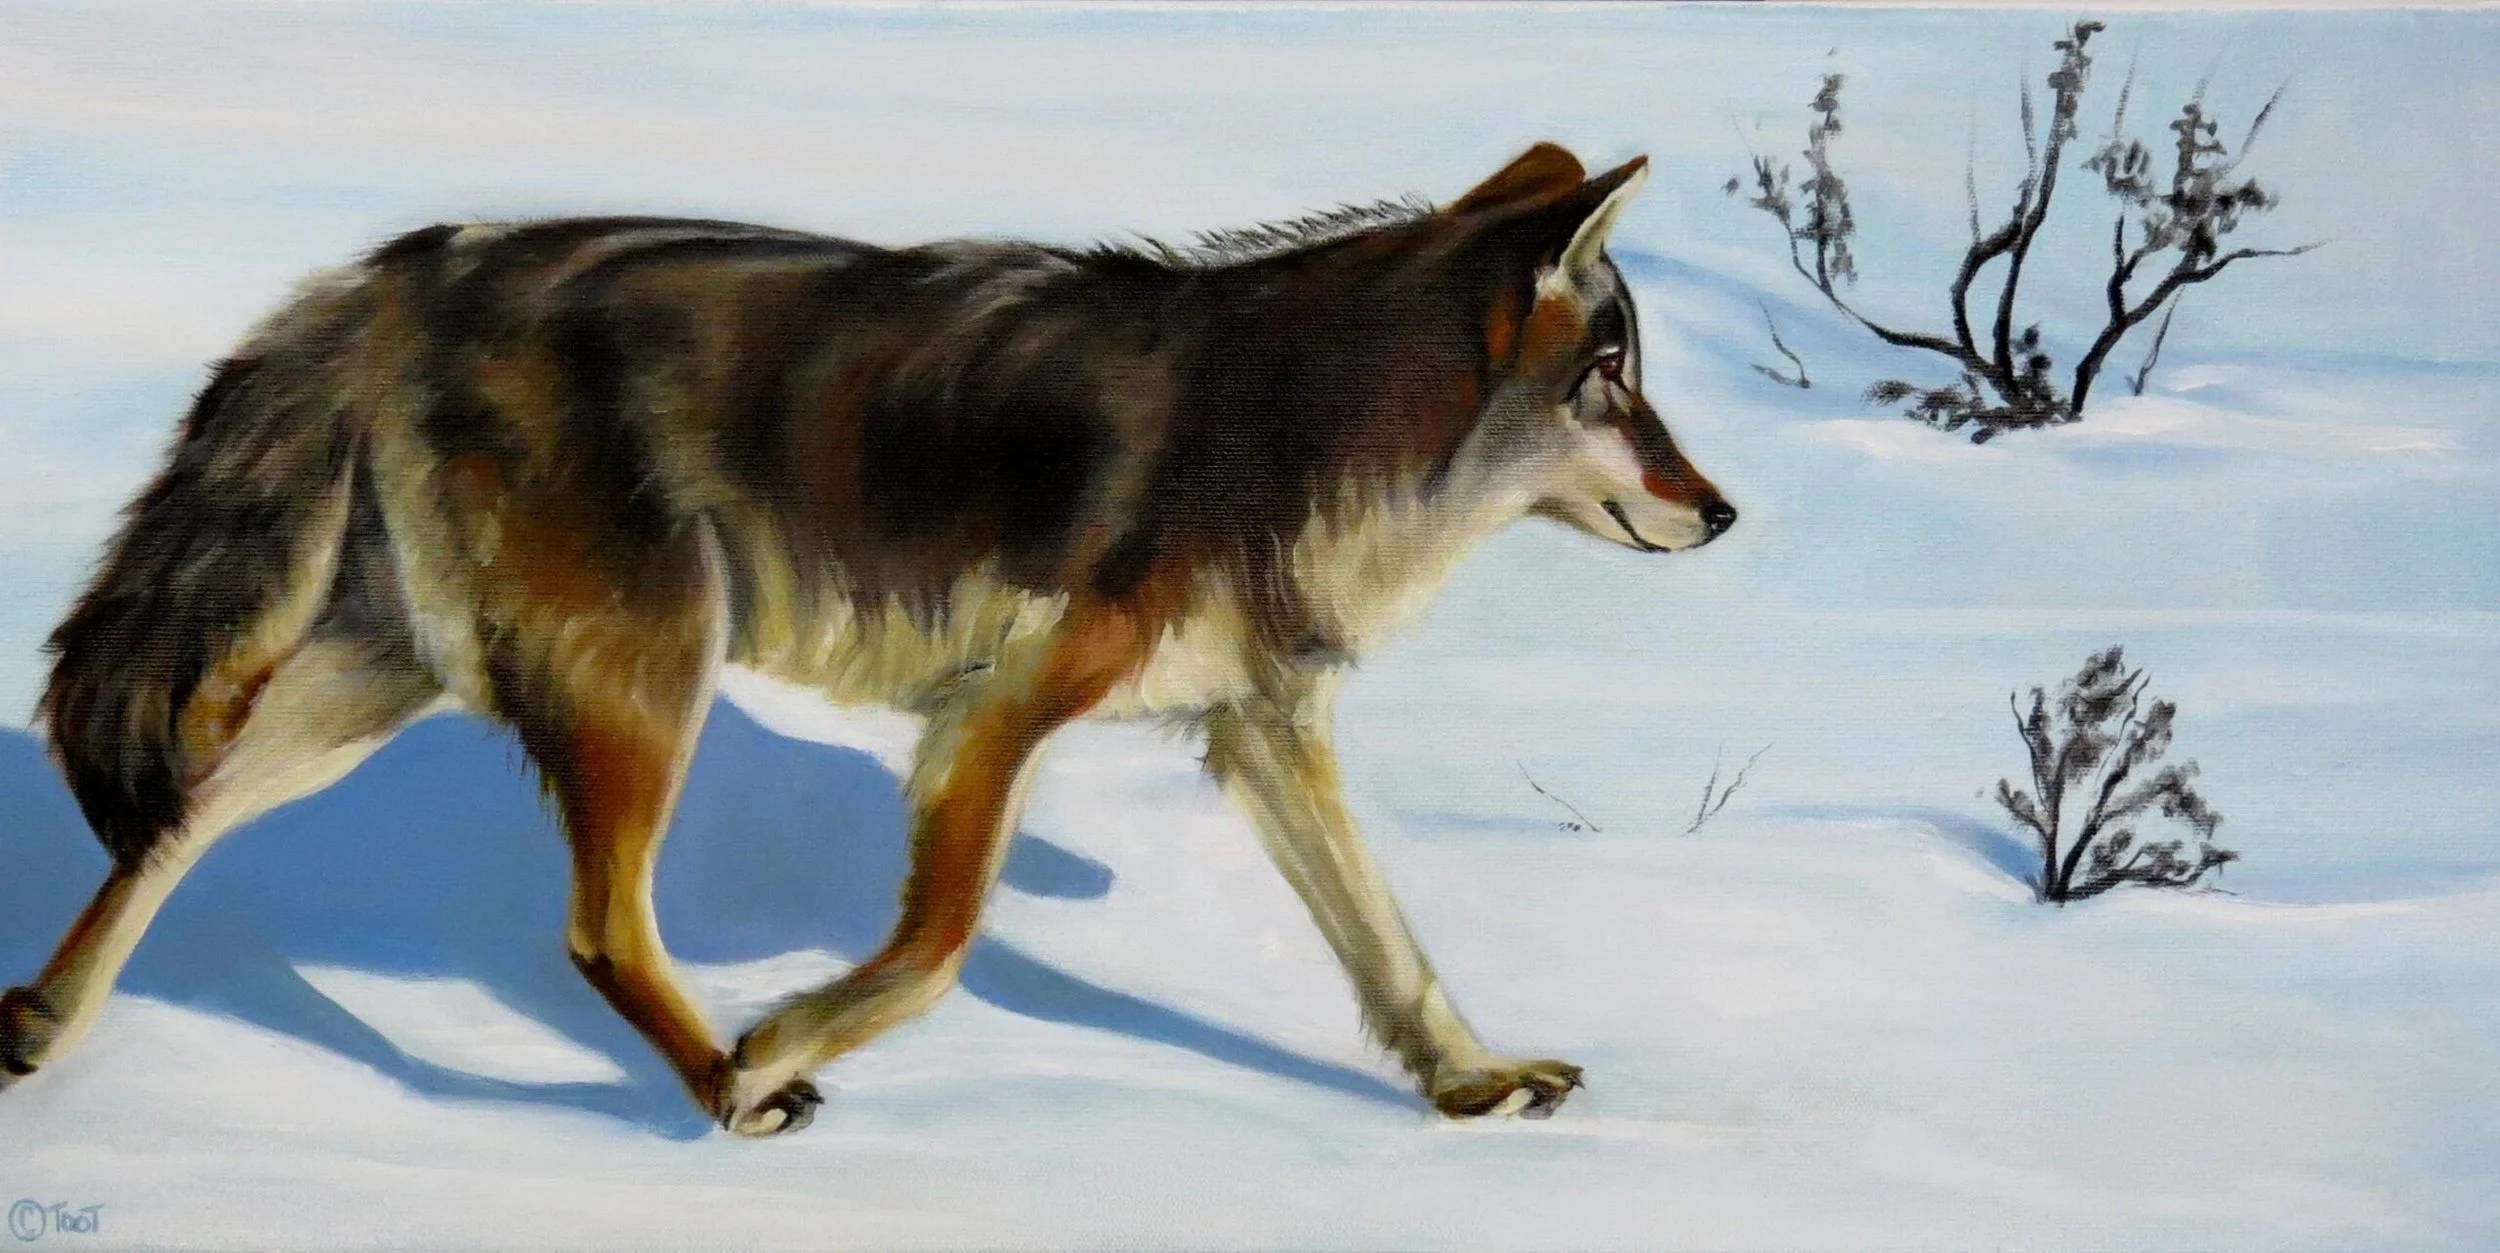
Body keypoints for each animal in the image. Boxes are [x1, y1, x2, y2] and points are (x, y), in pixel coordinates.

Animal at [0, 142, 1733, 1134]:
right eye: (1618, 378)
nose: (1722, 514)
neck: (1306, 435)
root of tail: (400, 265)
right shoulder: (996, 714)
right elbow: (940, 945)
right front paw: (780, 1040)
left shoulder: (1260, 731)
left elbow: (1391, 946)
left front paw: (1471, 1084)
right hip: (650, 681)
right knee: (595, 928)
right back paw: (725, 1087)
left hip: (387, 684)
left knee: (173, 822)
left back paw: (37, 1028)